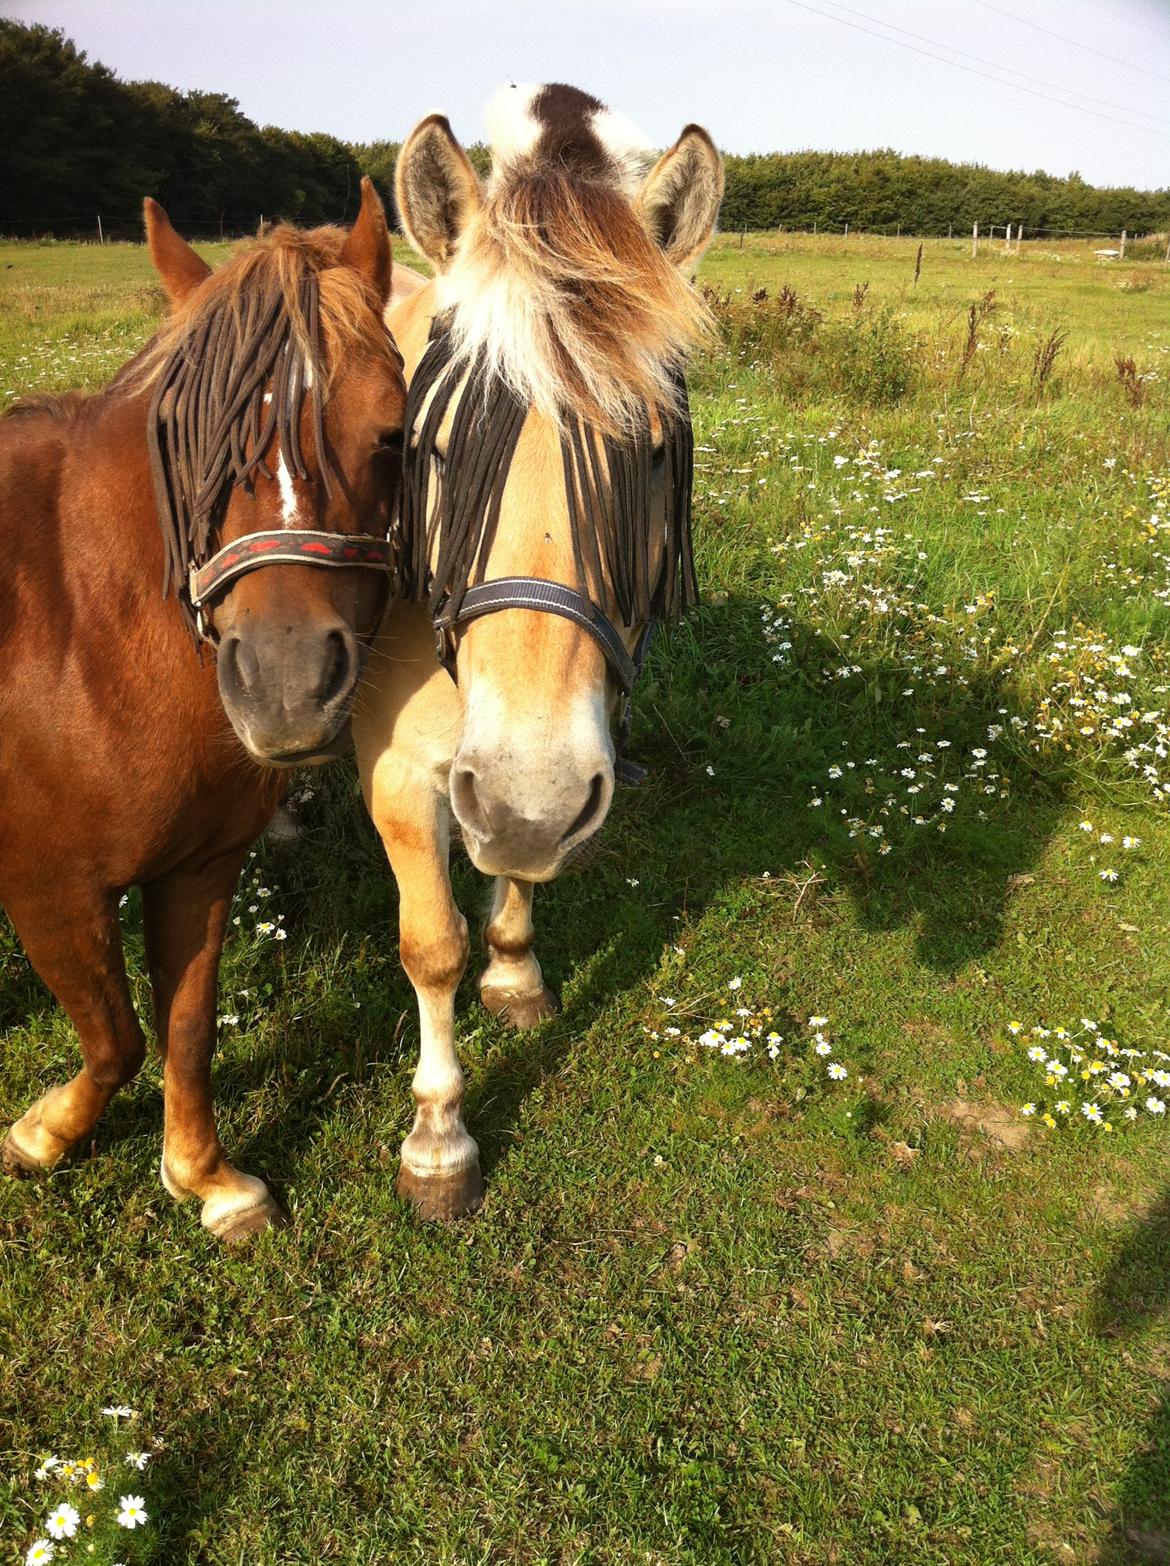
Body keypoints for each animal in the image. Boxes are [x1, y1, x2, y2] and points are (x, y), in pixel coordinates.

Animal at [3, 180, 407, 1234]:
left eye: (392, 435)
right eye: (190, 442)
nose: (286, 687)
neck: (83, 626)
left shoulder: (200, 867)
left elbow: (184, 1028)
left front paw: (202, 1175)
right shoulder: (48, 889)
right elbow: (115, 1036)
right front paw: (47, 1131)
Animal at [353, 85, 723, 1215]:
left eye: (652, 455)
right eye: (430, 452)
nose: (524, 799)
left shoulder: (552, 757)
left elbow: (519, 867)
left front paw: (513, 969)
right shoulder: (400, 773)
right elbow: (431, 945)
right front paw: (438, 1135)